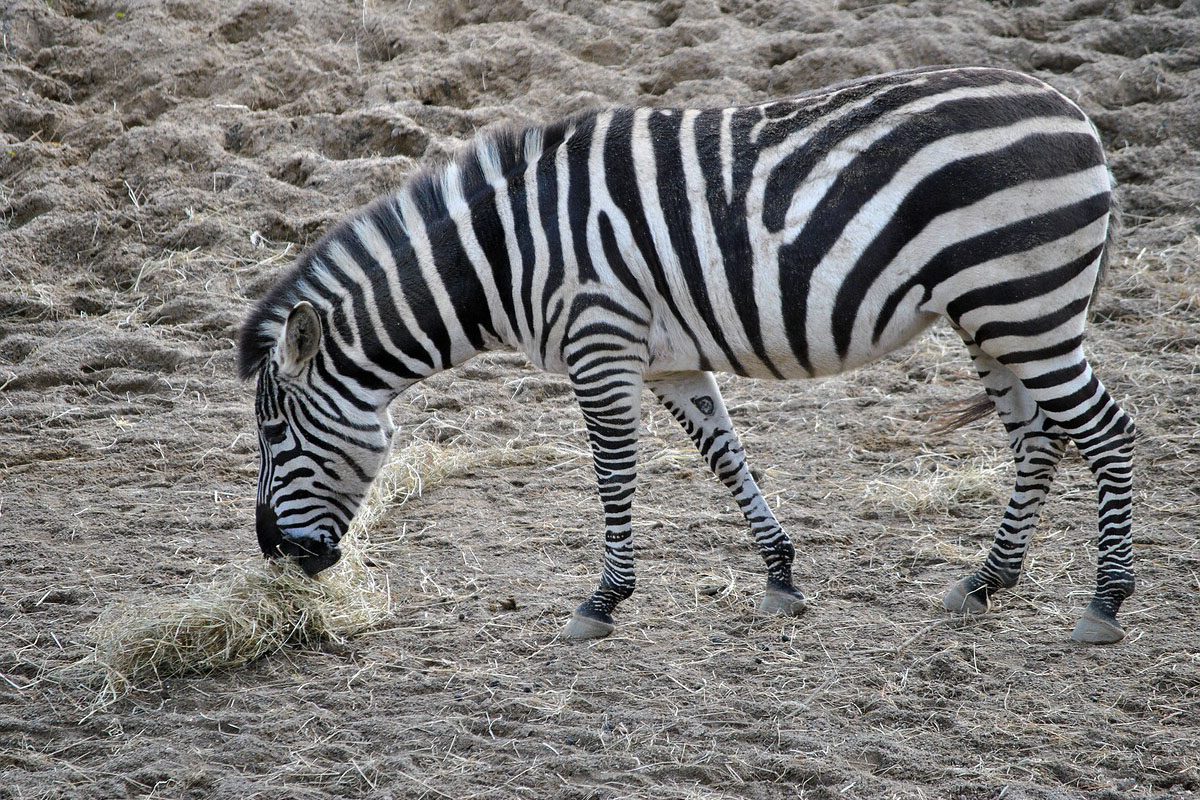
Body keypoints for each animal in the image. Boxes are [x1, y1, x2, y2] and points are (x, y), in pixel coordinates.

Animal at [239, 66, 1136, 645]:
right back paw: (987, 581)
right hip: (992, 316)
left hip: (1024, 304)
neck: (506, 256)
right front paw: (780, 576)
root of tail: (1075, 111)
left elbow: (613, 475)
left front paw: (603, 602)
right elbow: (724, 454)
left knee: (1107, 430)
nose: (278, 554)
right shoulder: (667, 358)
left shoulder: (599, 343)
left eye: (274, 437)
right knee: (1037, 437)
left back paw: (1106, 603)